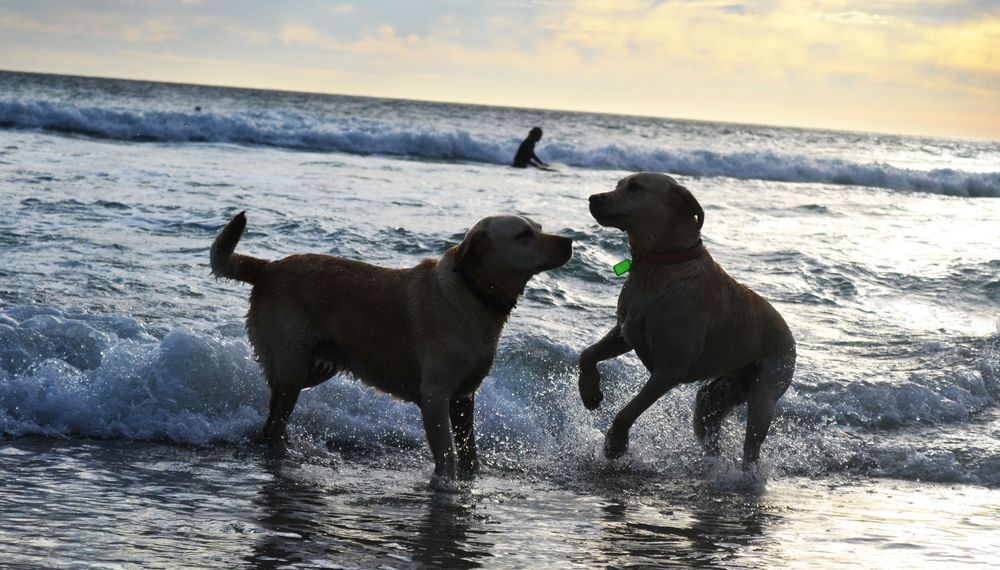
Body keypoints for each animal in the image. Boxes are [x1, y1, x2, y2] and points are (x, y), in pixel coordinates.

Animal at [211, 211, 572, 486]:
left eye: (539, 227)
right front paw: (447, 485)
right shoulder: (436, 397)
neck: (472, 293)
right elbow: (448, 455)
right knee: (275, 420)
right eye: (524, 234)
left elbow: (469, 452)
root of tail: (267, 267)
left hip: (314, 368)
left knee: (273, 414)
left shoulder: (463, 398)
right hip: (292, 366)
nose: (569, 241)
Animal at [580, 172, 796, 466]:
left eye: (635, 187)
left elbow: (627, 411)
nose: (593, 198)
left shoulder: (669, 371)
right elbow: (588, 354)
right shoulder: (625, 331)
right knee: (708, 422)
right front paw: (589, 390)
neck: (662, 263)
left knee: (752, 443)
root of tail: (792, 339)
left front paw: (615, 444)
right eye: (618, 185)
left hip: (767, 388)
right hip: (719, 394)